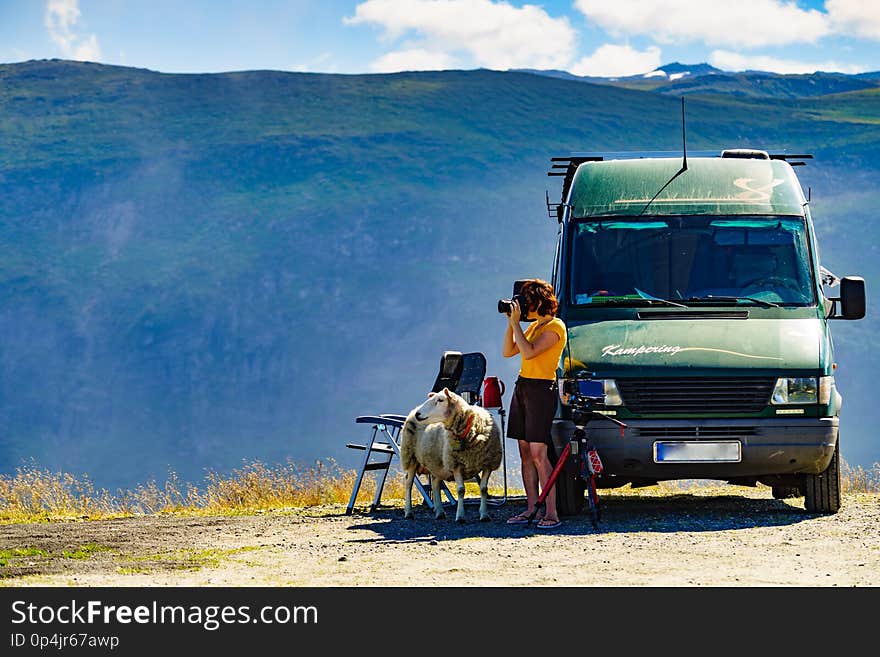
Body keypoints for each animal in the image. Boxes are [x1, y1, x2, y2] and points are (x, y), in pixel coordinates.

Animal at [400, 386, 502, 520]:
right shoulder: (455, 464)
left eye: (440, 400)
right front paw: (460, 516)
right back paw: (408, 512)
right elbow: (461, 490)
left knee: (435, 484)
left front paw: (484, 515)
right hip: (410, 456)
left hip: (436, 461)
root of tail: (413, 410)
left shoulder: (488, 463)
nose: (418, 414)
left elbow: (484, 489)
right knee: (408, 484)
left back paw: (439, 512)